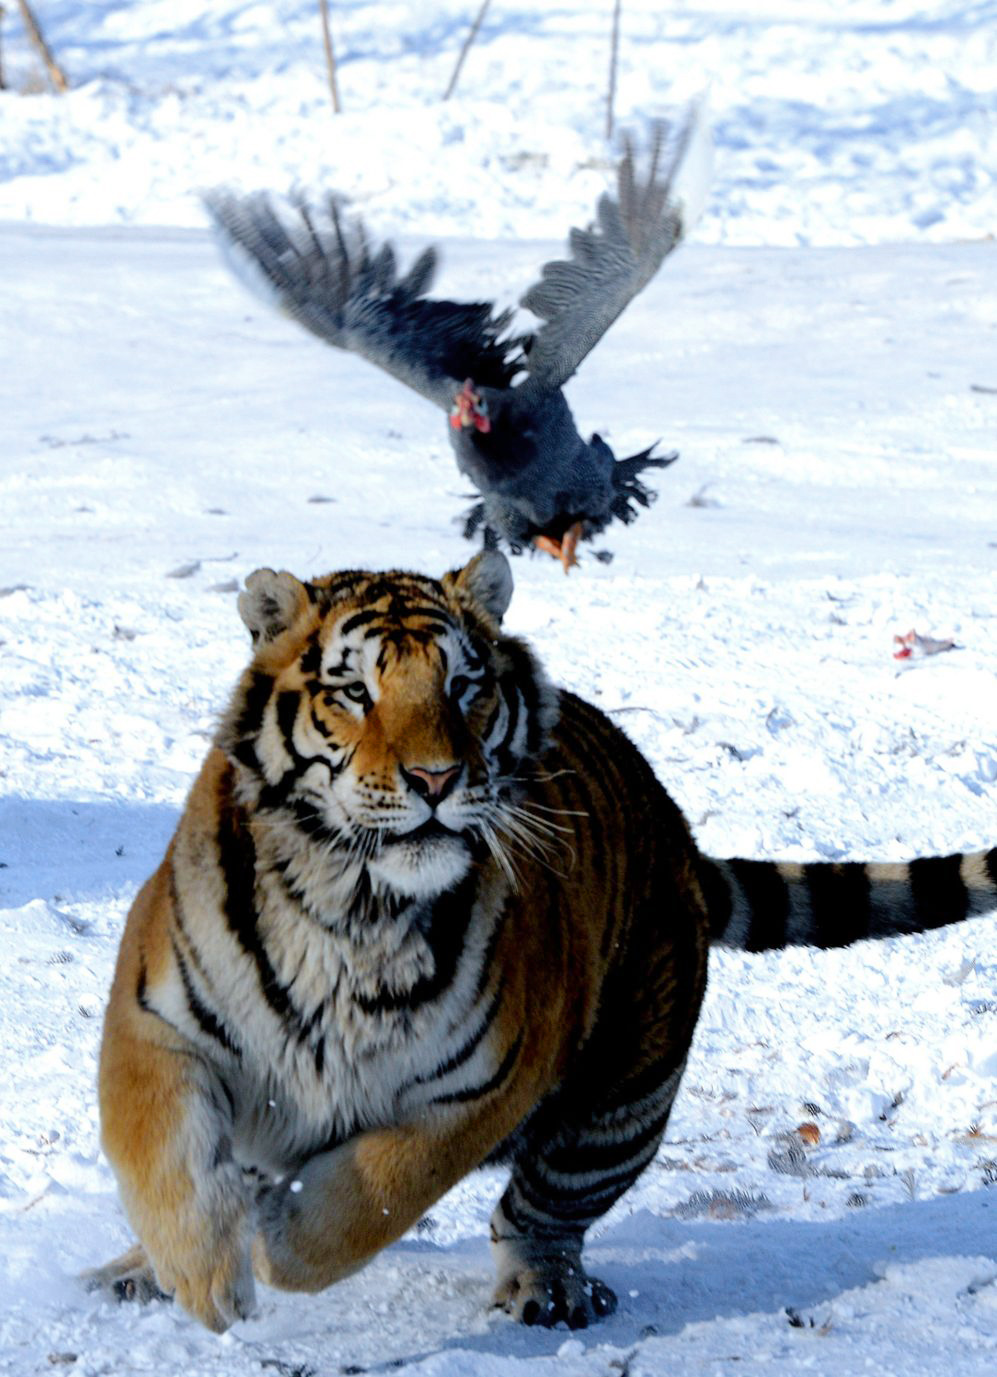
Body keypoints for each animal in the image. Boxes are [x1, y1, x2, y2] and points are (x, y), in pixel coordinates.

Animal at [87, 548, 997, 1332]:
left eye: (465, 686)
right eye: (352, 691)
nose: (435, 778)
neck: (357, 905)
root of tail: (675, 831)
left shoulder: (485, 1082)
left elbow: (376, 1190)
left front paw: (282, 1240)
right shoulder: (156, 1021)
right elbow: (164, 1156)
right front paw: (203, 1277)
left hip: (622, 1104)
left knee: (540, 1210)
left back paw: (547, 1288)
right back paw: (134, 1268)